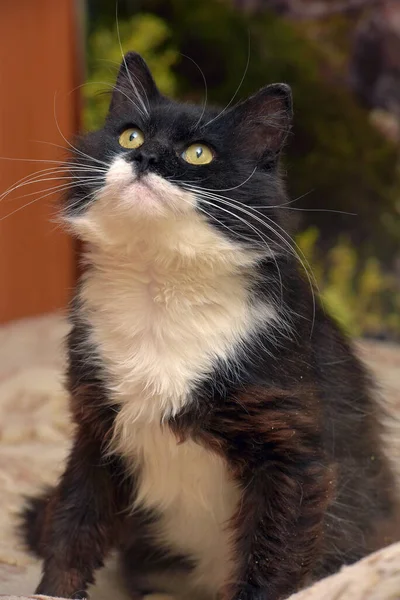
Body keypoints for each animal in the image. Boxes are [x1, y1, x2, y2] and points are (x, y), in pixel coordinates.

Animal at [20, 51, 398, 600]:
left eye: (198, 153)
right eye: (129, 136)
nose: (146, 157)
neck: (160, 289)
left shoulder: (292, 453)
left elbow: (271, 559)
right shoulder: (95, 430)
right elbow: (72, 526)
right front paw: (52, 591)